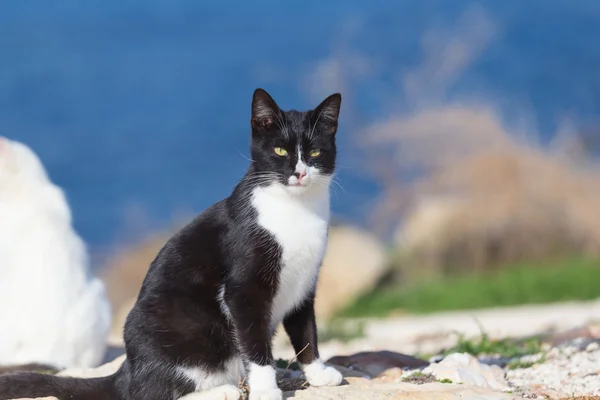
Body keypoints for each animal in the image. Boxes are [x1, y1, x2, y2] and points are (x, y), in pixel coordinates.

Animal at [1, 88, 342, 400]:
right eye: (280, 150)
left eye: (314, 153)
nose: (299, 173)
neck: (296, 210)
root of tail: (127, 369)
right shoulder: (244, 290)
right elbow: (256, 344)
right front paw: (267, 390)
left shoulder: (305, 282)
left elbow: (306, 331)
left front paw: (317, 373)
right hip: (178, 326)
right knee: (150, 392)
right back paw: (222, 390)